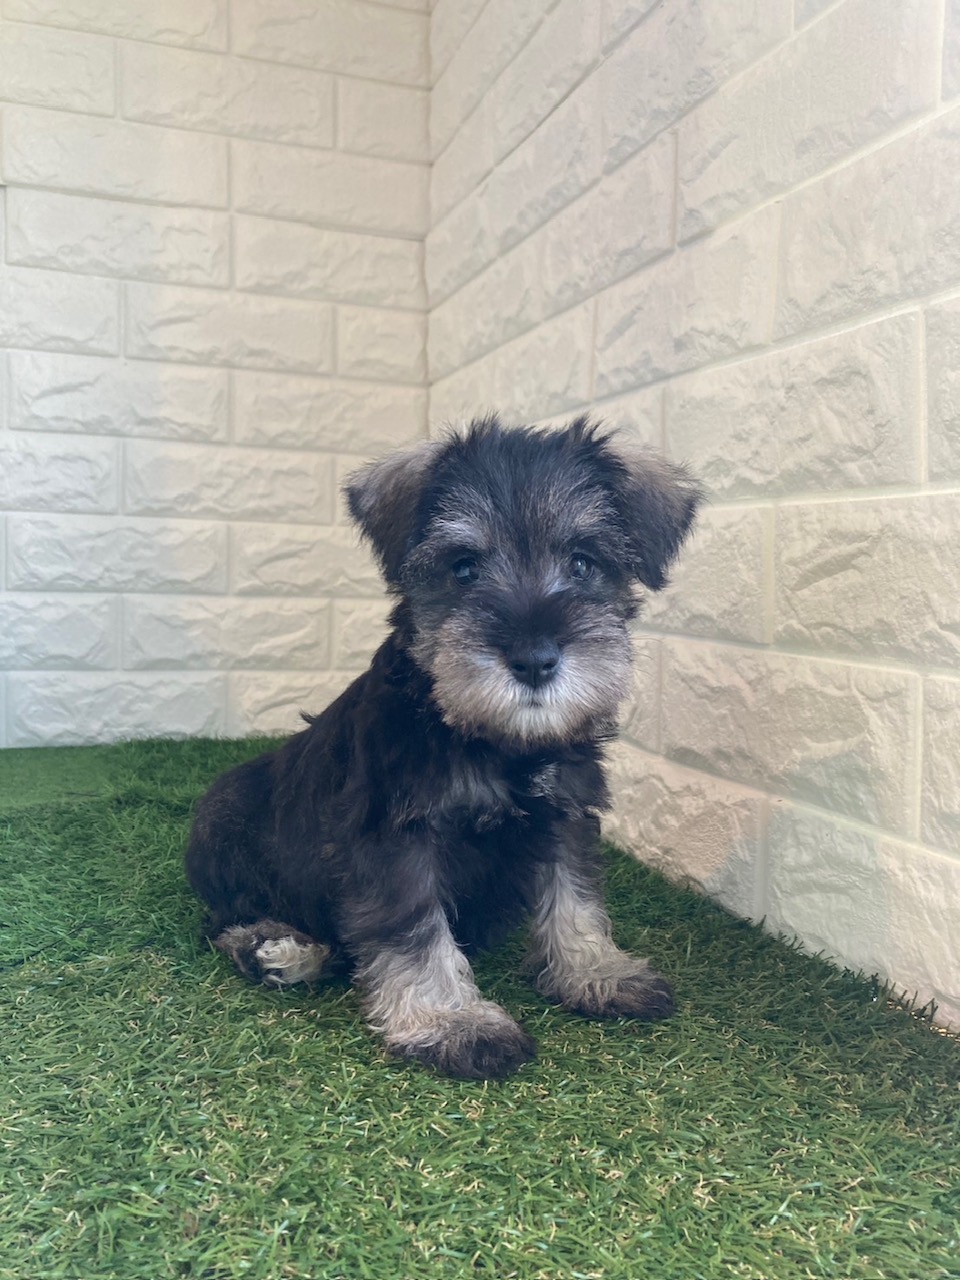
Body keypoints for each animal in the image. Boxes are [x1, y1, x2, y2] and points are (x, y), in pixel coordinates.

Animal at [185, 416, 702, 1079]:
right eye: (463, 568)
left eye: (584, 563)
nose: (534, 660)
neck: (497, 742)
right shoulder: (395, 837)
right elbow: (415, 930)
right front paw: (451, 1023)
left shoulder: (565, 817)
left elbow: (577, 899)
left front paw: (596, 971)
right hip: (224, 819)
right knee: (226, 917)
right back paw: (280, 949)